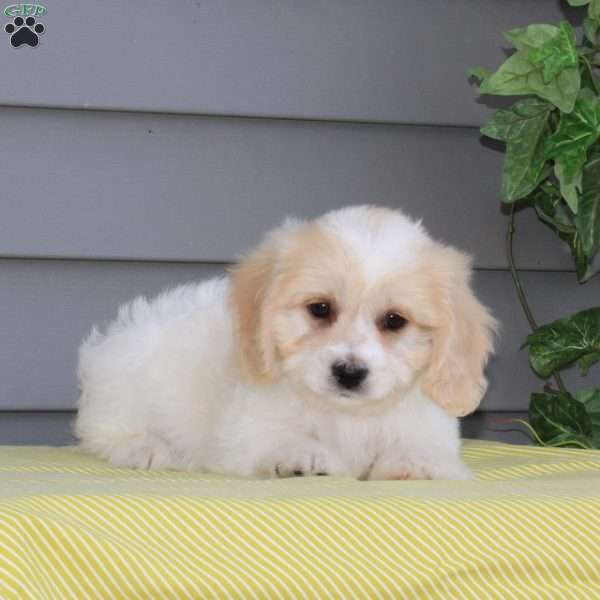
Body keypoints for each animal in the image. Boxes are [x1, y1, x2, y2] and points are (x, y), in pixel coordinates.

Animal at [76, 205, 496, 478]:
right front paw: (304, 456)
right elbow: (280, 438)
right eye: (320, 309)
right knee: (103, 431)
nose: (349, 372)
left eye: (395, 320)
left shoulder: (429, 430)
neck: (345, 414)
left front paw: (414, 464)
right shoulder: (245, 433)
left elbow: (425, 451)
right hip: (125, 379)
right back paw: (147, 448)